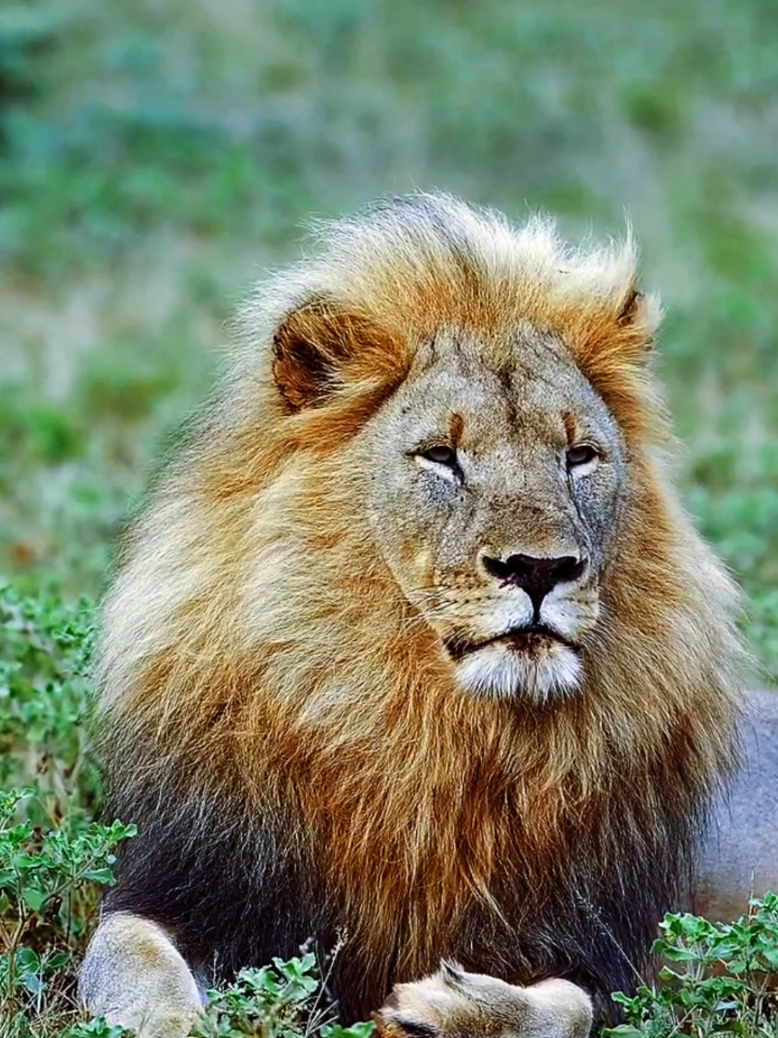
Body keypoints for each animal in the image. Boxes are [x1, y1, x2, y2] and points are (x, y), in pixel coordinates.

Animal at [79, 193, 748, 1037]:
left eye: (579, 456)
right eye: (440, 456)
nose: (540, 568)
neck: (424, 727)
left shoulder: (608, 952)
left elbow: (566, 1003)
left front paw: (455, 1007)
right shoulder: (190, 881)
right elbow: (132, 960)